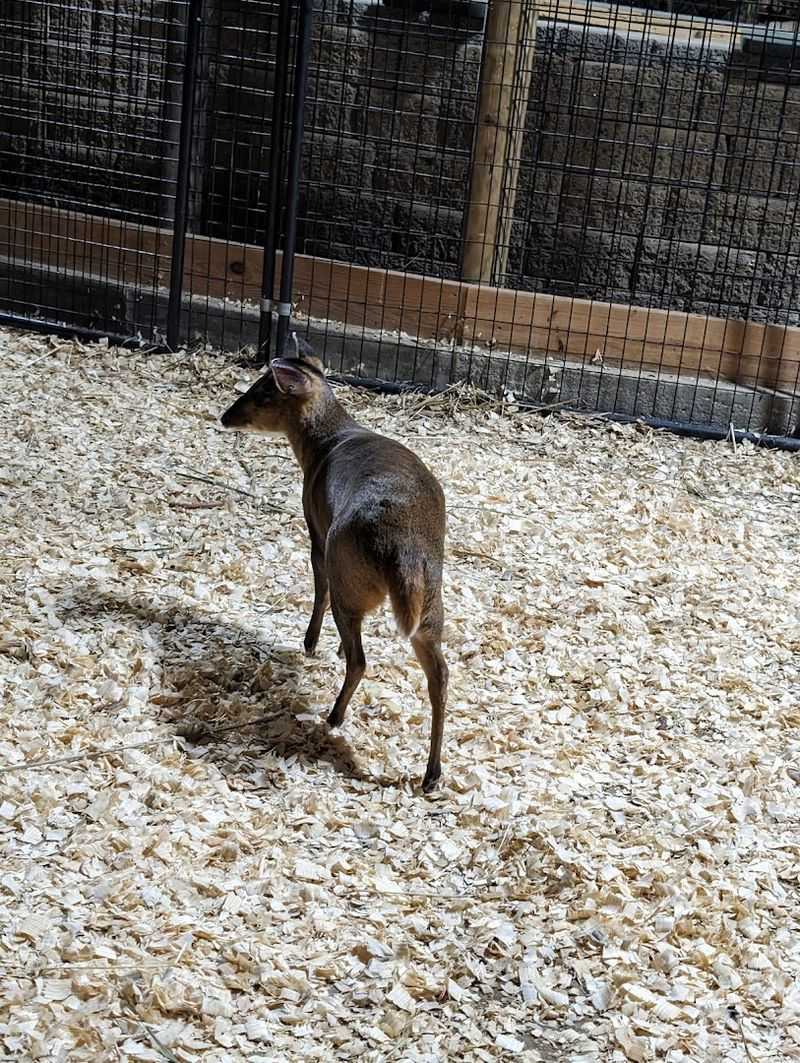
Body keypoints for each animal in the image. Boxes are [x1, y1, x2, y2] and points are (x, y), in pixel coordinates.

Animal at [220, 342, 448, 793]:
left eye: (262, 393)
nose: (225, 416)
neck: (323, 445)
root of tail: (403, 550)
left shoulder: (315, 528)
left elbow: (317, 587)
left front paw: (310, 642)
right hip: (431, 604)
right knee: (440, 676)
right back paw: (431, 774)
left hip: (347, 573)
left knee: (359, 656)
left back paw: (335, 715)